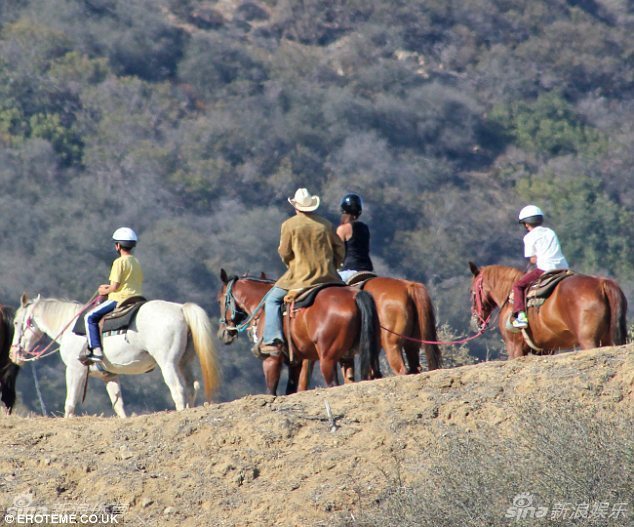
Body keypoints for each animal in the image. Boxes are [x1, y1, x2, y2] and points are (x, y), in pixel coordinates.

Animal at [8, 294, 222, 418]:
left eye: (17, 322)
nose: (13, 354)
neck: (71, 327)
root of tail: (180, 309)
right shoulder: (109, 375)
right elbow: (118, 405)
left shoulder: (75, 369)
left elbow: (70, 402)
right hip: (184, 362)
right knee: (192, 386)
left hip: (168, 364)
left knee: (178, 389)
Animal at [216, 270, 380, 394]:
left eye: (219, 300)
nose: (222, 334)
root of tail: (354, 295)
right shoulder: (295, 363)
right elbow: (290, 390)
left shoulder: (272, 359)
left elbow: (271, 391)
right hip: (355, 355)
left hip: (328, 359)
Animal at [466, 260, 624, 358]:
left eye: (471, 291)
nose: (474, 322)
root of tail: (602, 283)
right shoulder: (545, 349)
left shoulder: (514, 347)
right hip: (606, 339)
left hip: (588, 340)